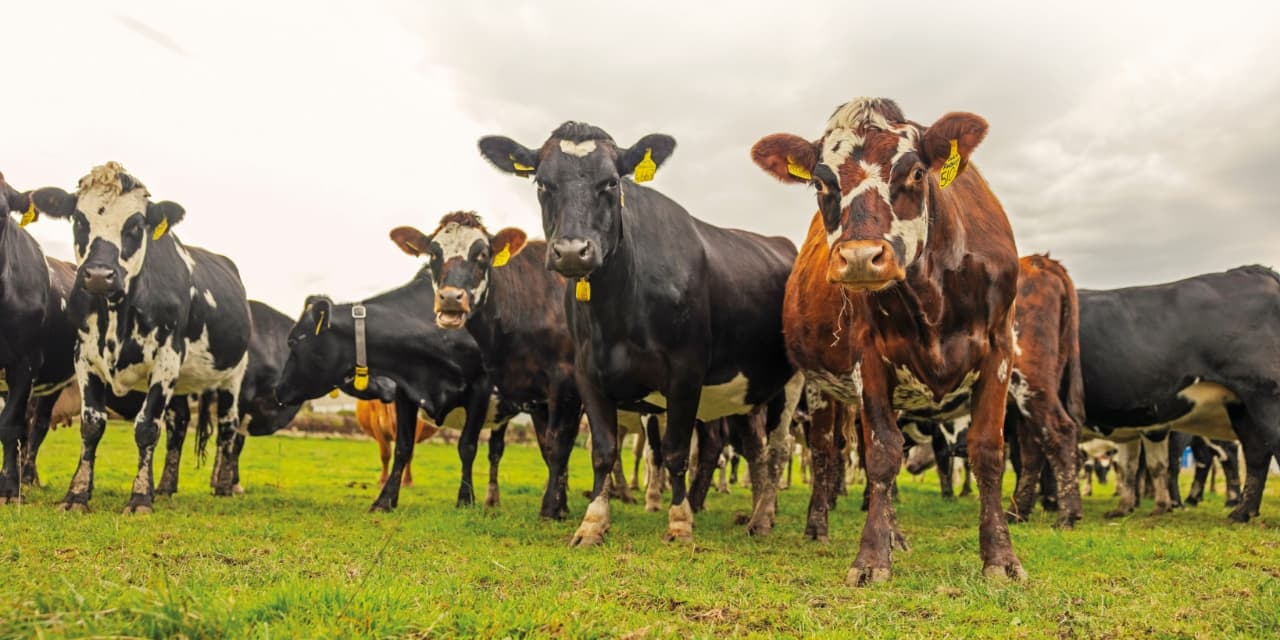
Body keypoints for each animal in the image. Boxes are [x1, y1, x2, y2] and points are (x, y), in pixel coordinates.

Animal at [28, 162, 251, 513]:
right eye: (78, 219)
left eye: (135, 225)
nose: (99, 275)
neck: (117, 314)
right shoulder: (84, 355)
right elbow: (92, 425)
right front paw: (77, 494)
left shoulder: (167, 356)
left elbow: (147, 427)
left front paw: (140, 498)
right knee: (178, 425)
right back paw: (166, 486)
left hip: (233, 375)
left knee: (228, 426)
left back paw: (224, 487)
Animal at [275, 273, 502, 511]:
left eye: (292, 341)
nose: (277, 389)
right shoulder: (407, 391)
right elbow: (402, 447)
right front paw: (385, 500)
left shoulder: (481, 386)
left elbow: (467, 446)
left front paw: (465, 499)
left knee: (495, 451)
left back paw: (492, 499)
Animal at [478, 121, 803, 545]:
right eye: (542, 183)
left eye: (612, 182)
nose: (572, 251)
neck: (617, 309)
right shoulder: (587, 372)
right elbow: (603, 450)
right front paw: (592, 522)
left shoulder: (685, 371)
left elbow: (675, 451)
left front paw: (680, 522)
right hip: (748, 390)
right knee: (756, 448)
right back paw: (753, 514)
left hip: (794, 379)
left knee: (778, 449)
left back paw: (763, 517)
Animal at [752, 97, 1025, 583]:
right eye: (820, 182)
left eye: (916, 172)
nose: (861, 258)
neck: (933, 293)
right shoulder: (869, 358)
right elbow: (880, 454)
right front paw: (872, 557)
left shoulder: (998, 351)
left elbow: (987, 451)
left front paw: (1001, 556)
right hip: (818, 386)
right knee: (826, 451)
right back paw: (819, 524)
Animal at [1004, 254, 1086, 528]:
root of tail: (1036, 260)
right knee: (1033, 447)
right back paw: (1016, 512)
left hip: (1030, 379)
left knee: (1059, 431)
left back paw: (1068, 515)